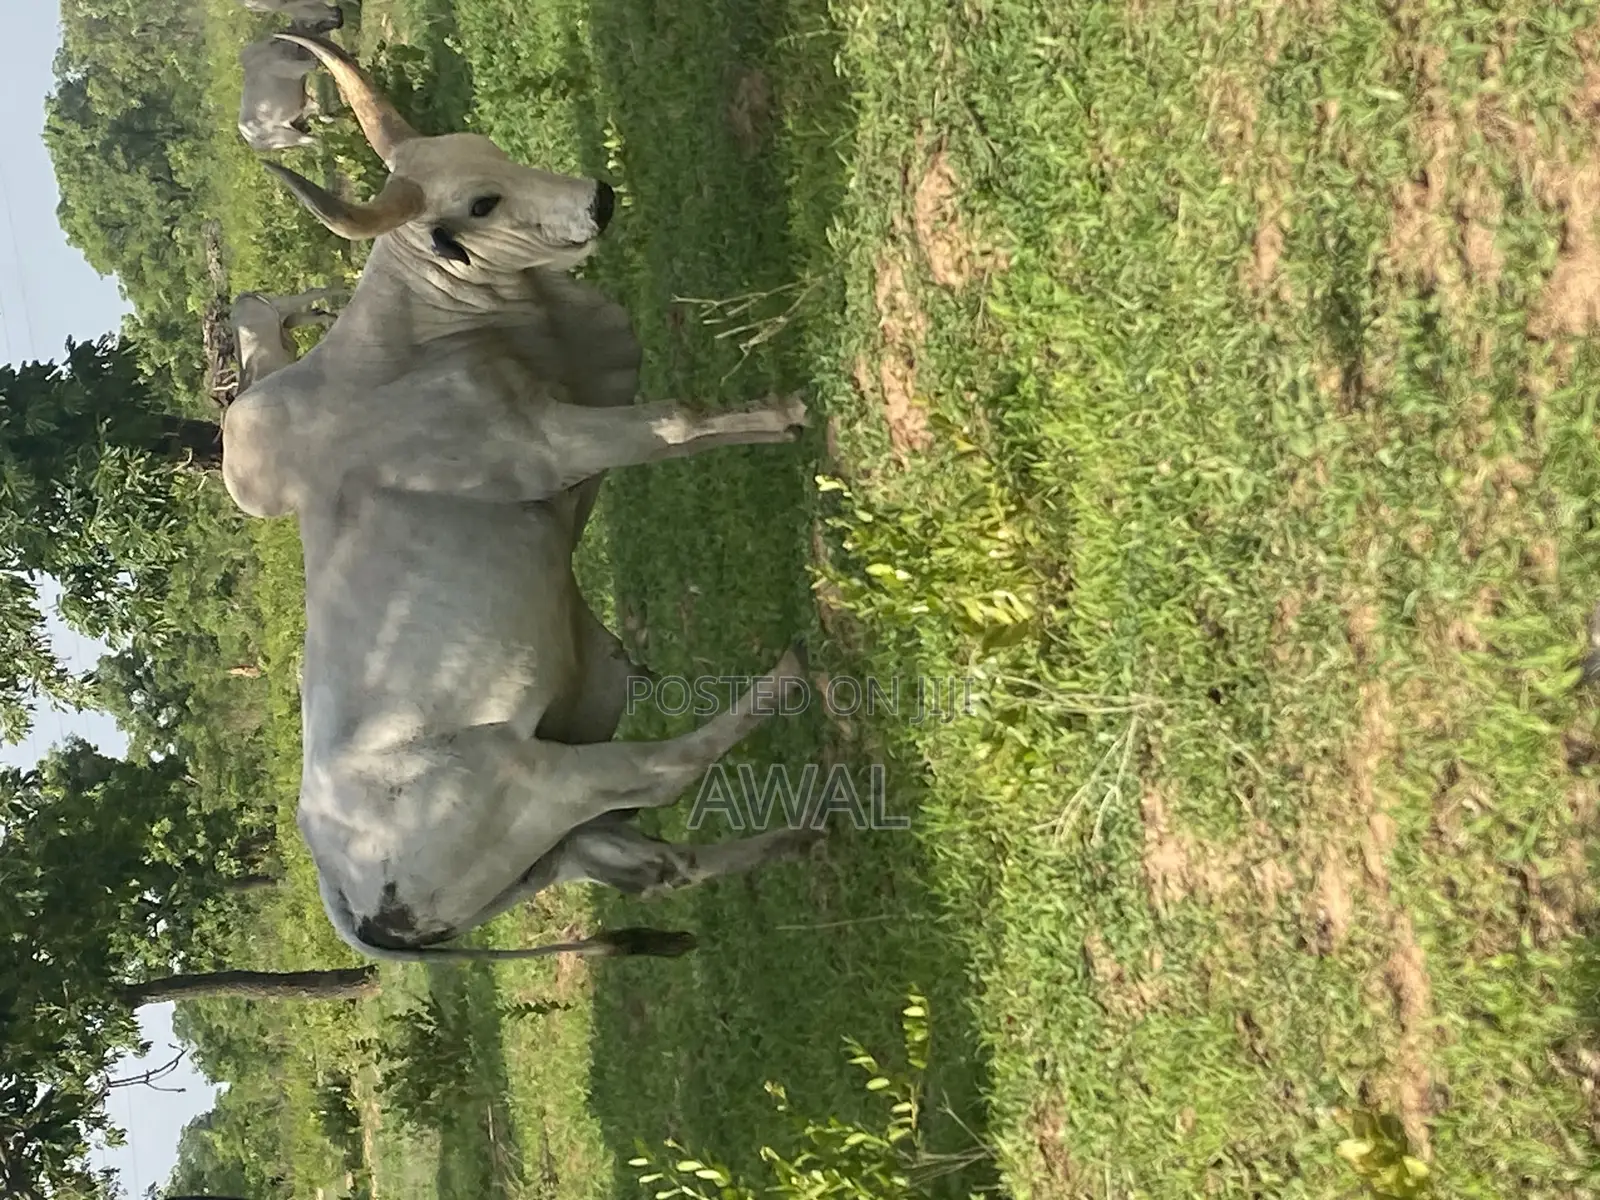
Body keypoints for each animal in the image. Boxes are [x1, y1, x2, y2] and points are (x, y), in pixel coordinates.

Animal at [221, 34, 821, 964]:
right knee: (666, 768)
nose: (597, 200)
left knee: (663, 866)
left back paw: (797, 840)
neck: (419, 339)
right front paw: (790, 414)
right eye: (481, 202)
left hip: (562, 845)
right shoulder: (554, 444)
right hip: (543, 776)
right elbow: (680, 423)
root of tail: (348, 903)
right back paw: (787, 680)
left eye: (492, 154)